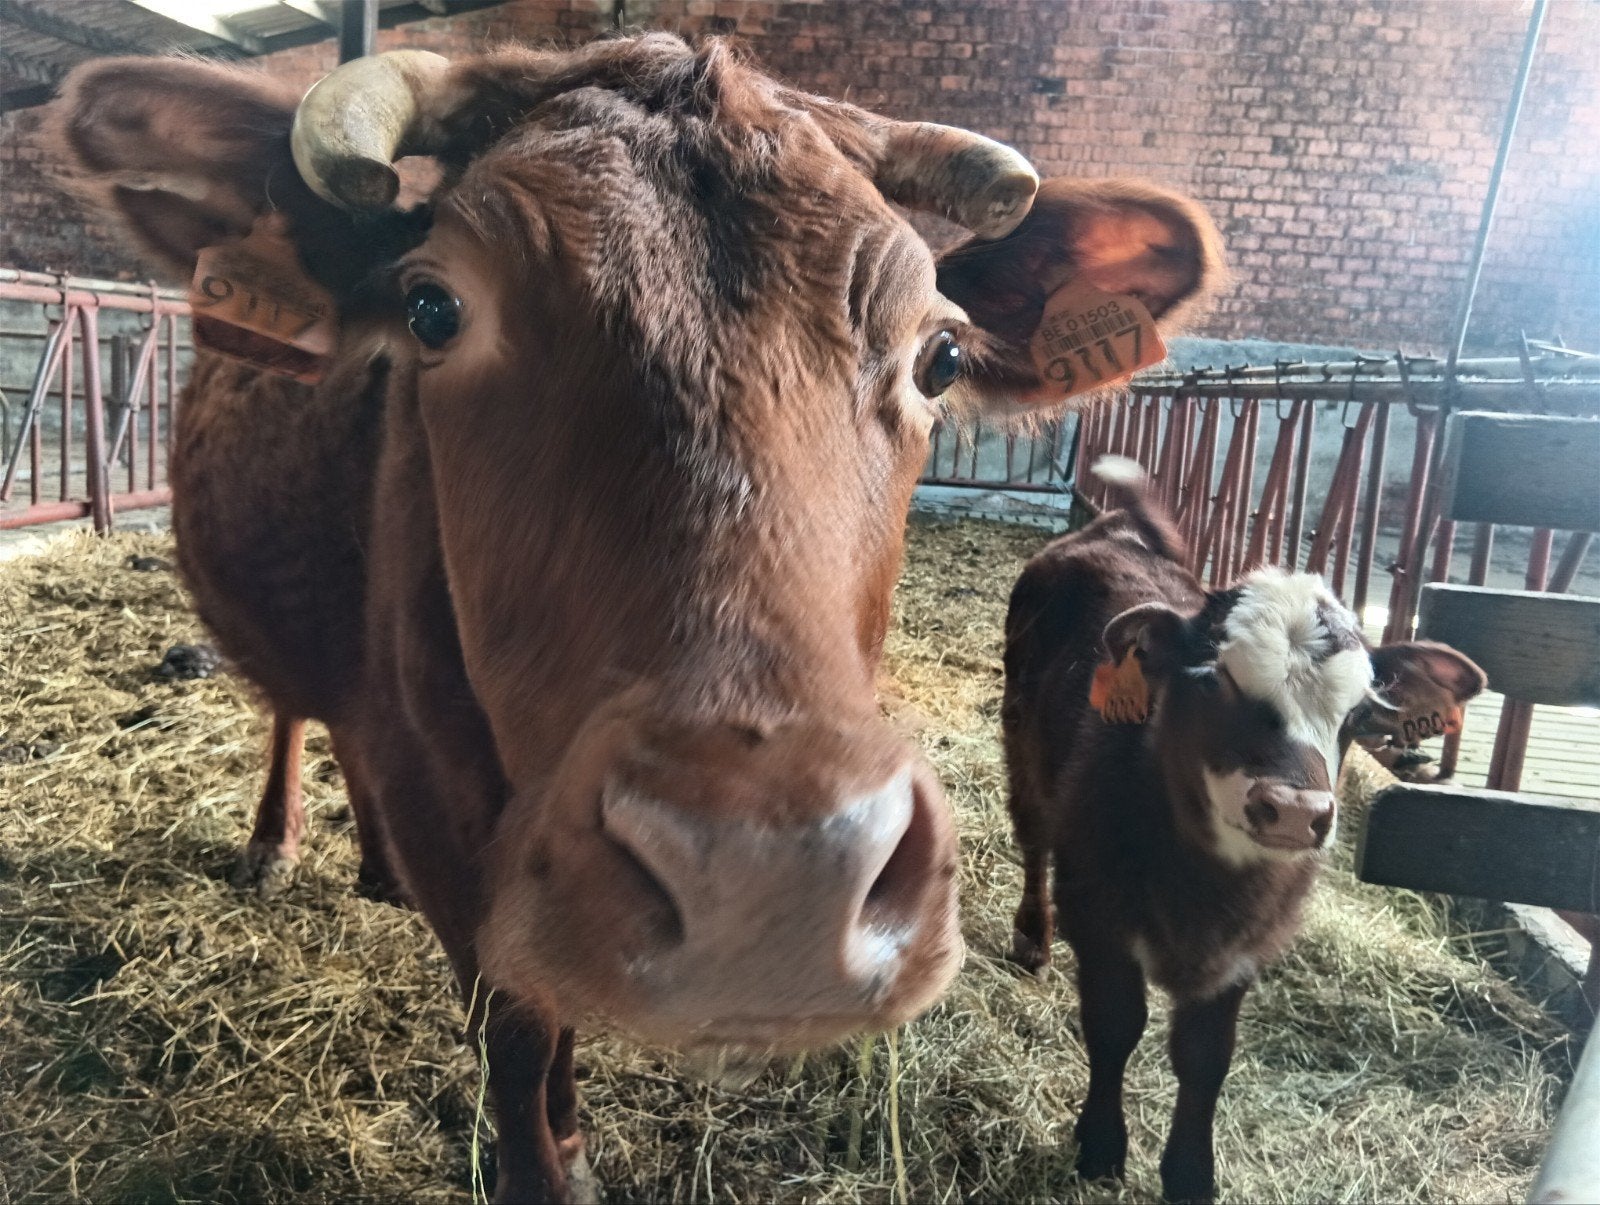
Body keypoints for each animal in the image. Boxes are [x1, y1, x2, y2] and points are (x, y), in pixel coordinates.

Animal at [51, 35, 1223, 1200]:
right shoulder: (453, 834)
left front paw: (571, 1135)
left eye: (939, 356)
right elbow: (519, 1028)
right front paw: (543, 1156)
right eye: (433, 310)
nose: (771, 882)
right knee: (296, 708)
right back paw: (275, 840)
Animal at [1000, 456, 1485, 1202]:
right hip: (1021, 739)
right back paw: (1031, 934)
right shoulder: (1098, 911)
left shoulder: (1247, 946)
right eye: (1209, 680)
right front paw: (1101, 1145)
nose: (1294, 809)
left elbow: (1205, 1060)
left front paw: (1189, 1173)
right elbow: (1114, 1027)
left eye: (1359, 714)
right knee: (1031, 836)